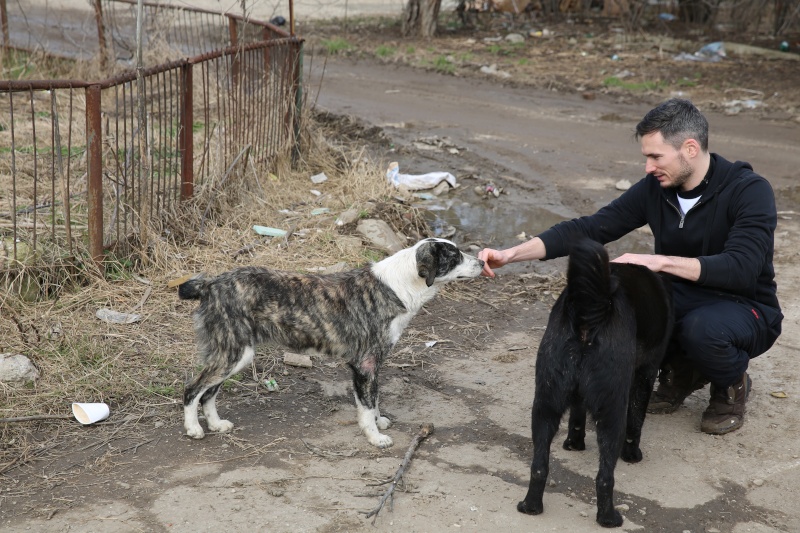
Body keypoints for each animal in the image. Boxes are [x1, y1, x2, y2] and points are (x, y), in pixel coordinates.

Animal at [178, 239, 484, 446]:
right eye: (455, 256)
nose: (482, 262)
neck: (398, 285)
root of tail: (211, 284)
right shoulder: (365, 365)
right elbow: (367, 406)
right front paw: (375, 436)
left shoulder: (371, 366)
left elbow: (374, 400)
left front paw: (379, 422)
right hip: (233, 354)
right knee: (193, 389)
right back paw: (193, 429)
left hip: (233, 355)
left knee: (209, 392)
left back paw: (216, 424)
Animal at [520, 238, 676, 528]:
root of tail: (591, 309)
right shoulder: (645, 374)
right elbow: (636, 421)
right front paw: (632, 454)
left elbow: (577, 416)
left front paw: (574, 443)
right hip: (611, 412)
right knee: (605, 477)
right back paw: (608, 517)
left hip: (545, 404)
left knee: (539, 466)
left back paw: (531, 505)